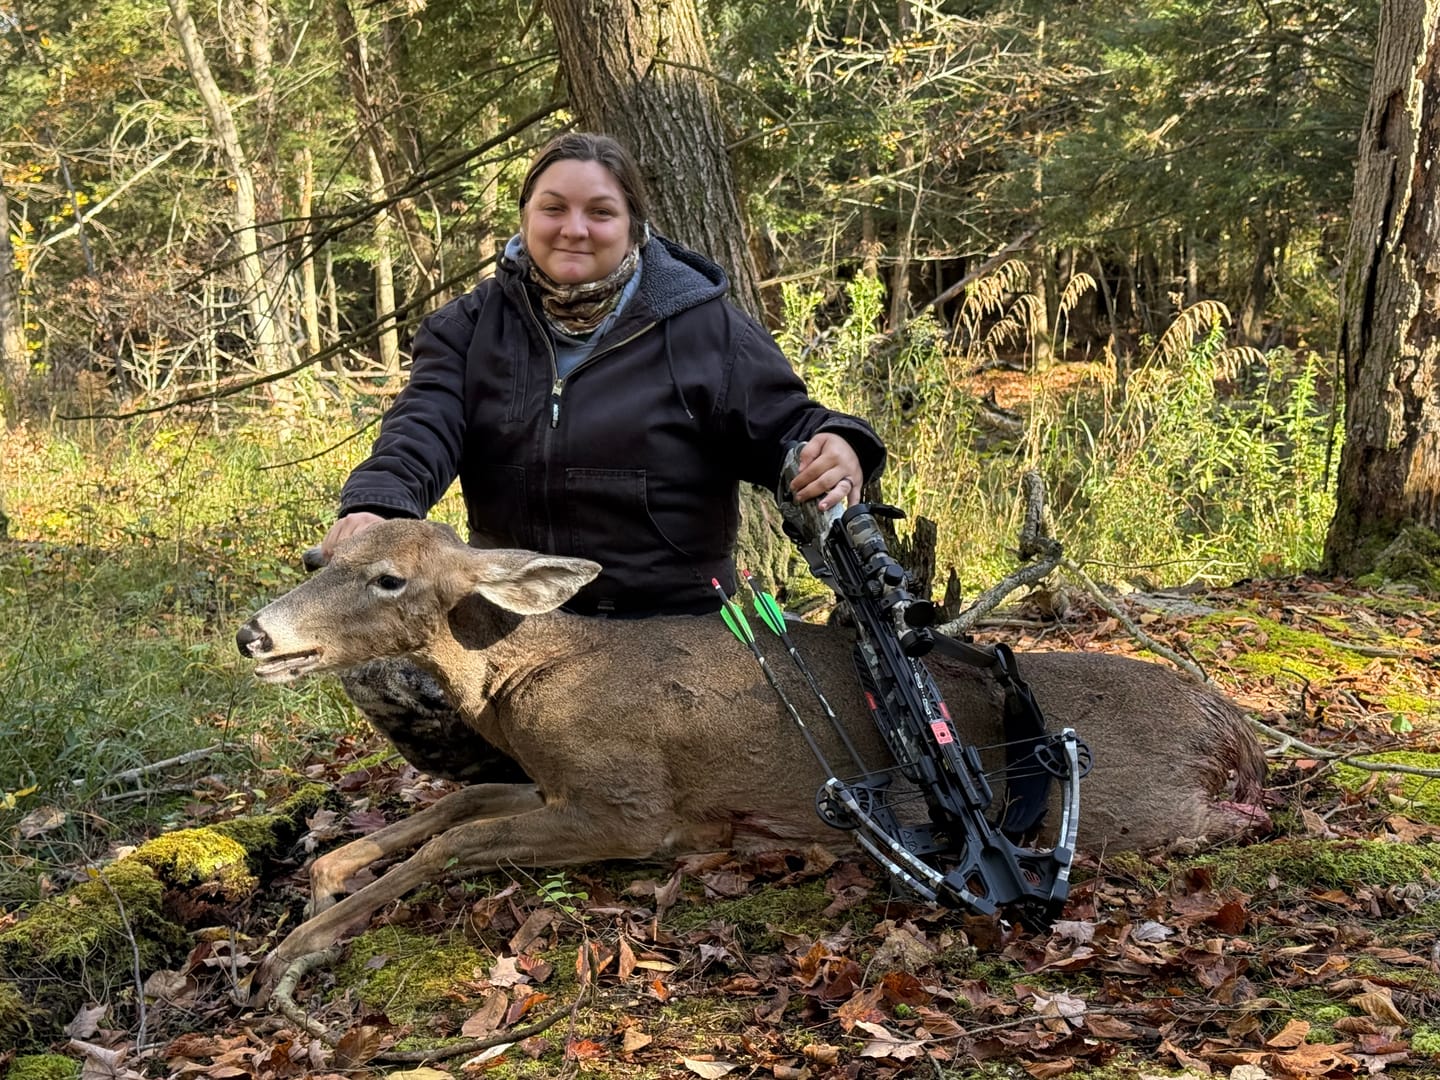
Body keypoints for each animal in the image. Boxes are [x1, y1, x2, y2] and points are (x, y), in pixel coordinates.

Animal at [237, 519, 1269, 993]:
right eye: (324, 555)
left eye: (389, 577)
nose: (254, 635)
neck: (524, 681)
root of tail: (1240, 734)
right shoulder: (557, 784)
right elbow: (452, 808)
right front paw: (323, 877)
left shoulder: (634, 809)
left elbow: (452, 840)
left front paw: (289, 947)